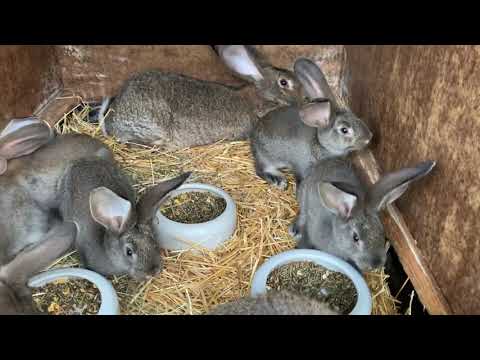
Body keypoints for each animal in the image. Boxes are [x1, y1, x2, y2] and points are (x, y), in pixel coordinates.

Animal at [249, 57, 374, 190]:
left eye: (356, 117)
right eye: (344, 130)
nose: (368, 138)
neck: (320, 143)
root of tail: (253, 138)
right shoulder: (303, 164)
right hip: (267, 157)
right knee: (261, 169)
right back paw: (278, 180)